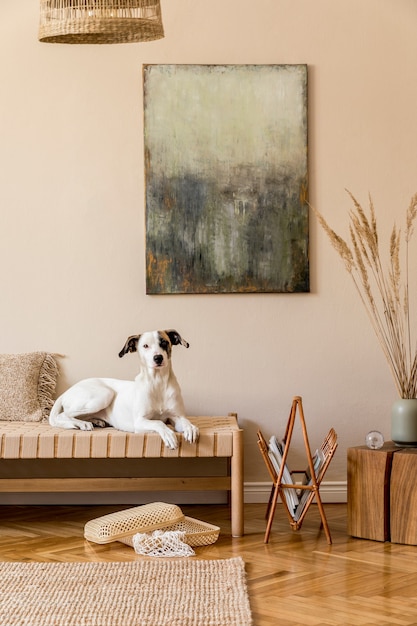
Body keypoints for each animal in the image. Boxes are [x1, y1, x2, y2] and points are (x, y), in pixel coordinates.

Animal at [48, 330, 198, 446]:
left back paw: (95, 421)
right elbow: (158, 423)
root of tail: (67, 391)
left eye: (164, 342)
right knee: (63, 415)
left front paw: (191, 428)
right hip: (104, 394)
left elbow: (185, 422)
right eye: (145, 346)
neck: (158, 383)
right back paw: (81, 424)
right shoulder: (139, 422)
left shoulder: (176, 417)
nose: (158, 358)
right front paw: (168, 433)